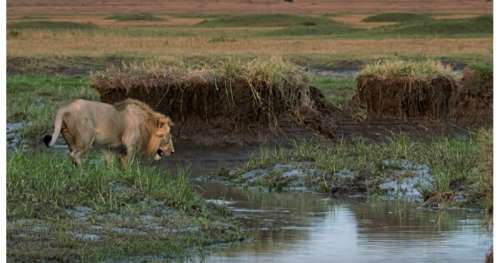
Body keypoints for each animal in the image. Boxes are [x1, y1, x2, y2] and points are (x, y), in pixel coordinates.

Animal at [43, 99, 176, 167]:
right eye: (168, 137)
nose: (173, 152)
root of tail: (64, 108)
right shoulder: (130, 145)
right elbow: (127, 163)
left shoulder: (108, 147)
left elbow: (110, 163)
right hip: (86, 139)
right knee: (73, 155)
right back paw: (83, 170)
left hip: (70, 140)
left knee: (71, 155)